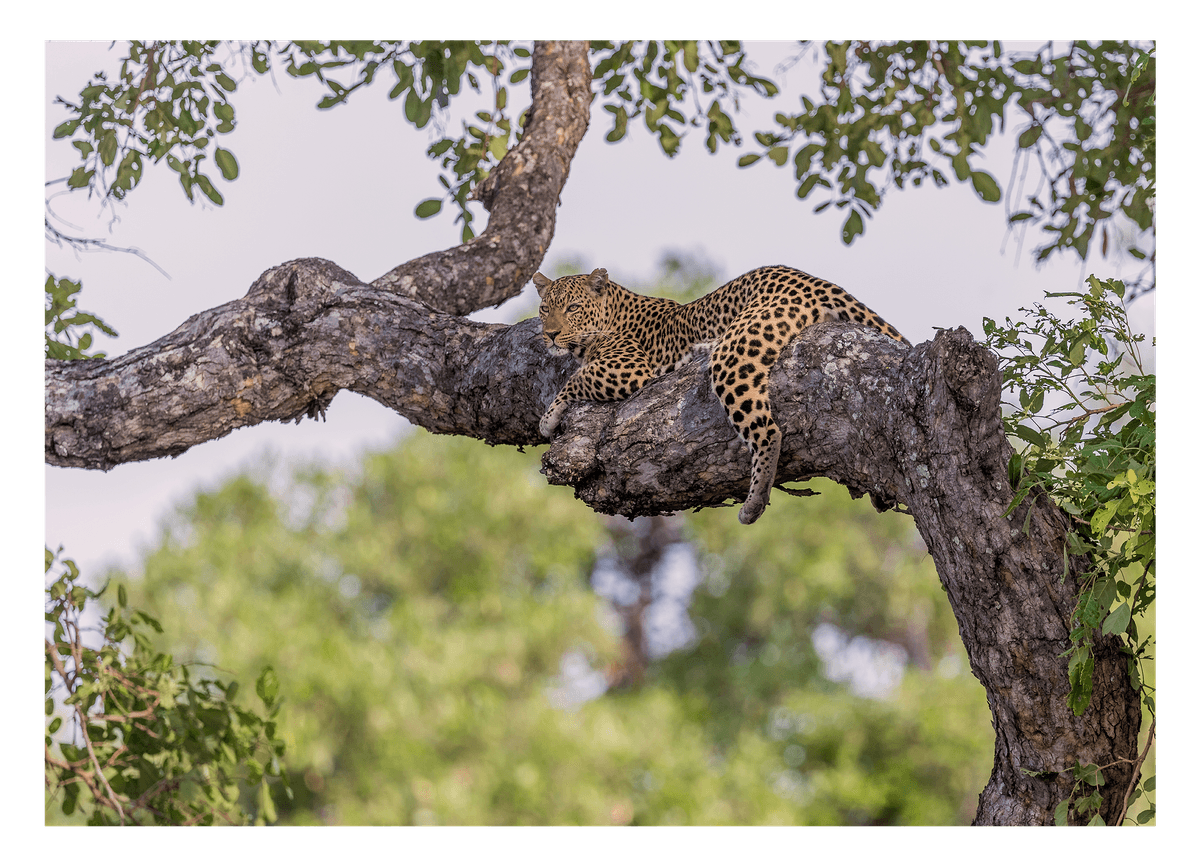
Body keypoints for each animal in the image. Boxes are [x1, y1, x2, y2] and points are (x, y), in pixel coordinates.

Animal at [534, 265, 909, 524]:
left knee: (769, 431)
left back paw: (753, 503)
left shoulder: (630, 368)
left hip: (735, 355)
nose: (549, 334)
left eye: (572, 308)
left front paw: (548, 417)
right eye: (544, 309)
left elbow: (576, 378)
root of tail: (809, 278)